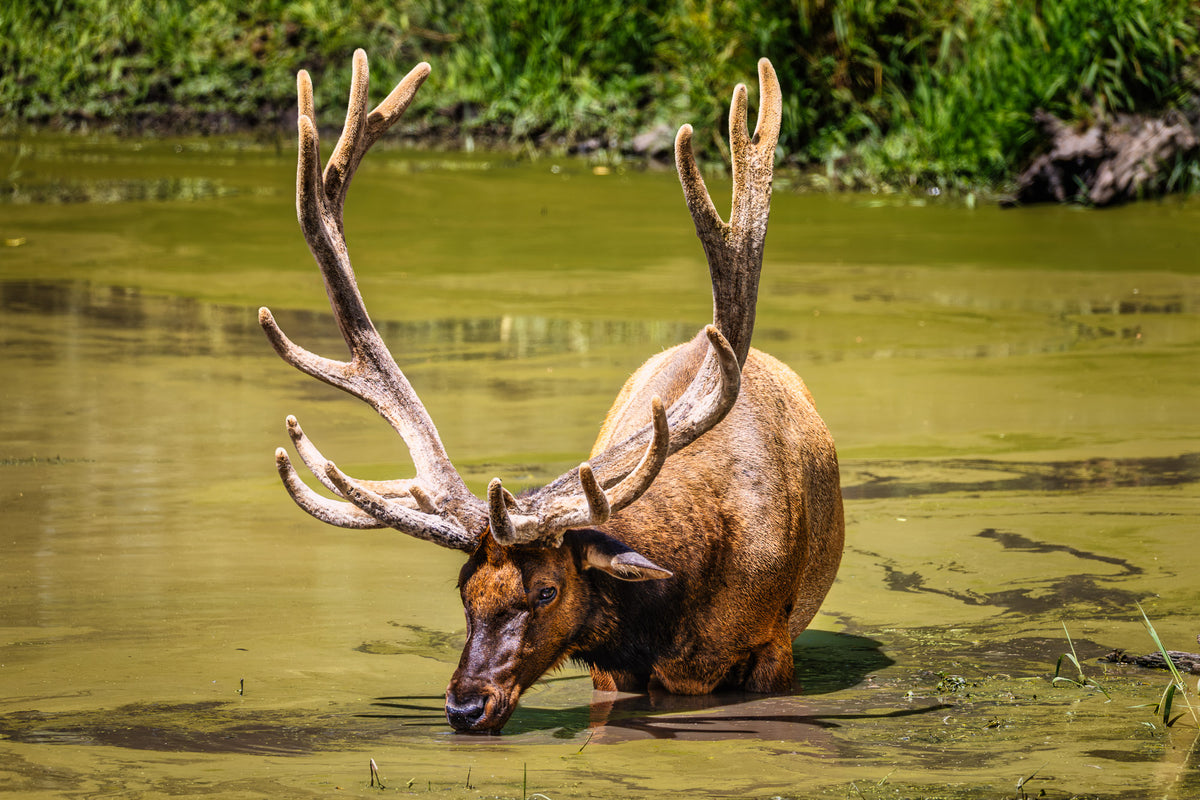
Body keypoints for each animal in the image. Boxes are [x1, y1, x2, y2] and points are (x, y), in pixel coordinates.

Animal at [259, 50, 844, 734]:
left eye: (546, 590)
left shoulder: (773, 644)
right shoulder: (611, 670)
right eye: (464, 589)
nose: (464, 706)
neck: (680, 609)